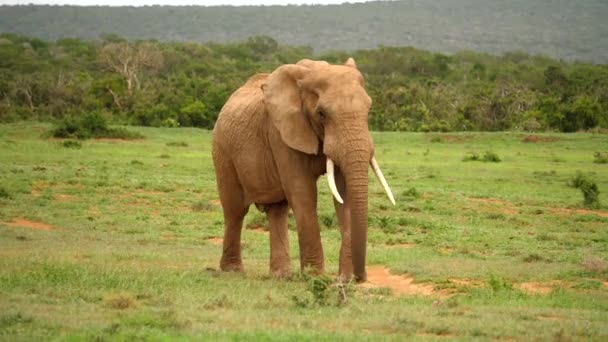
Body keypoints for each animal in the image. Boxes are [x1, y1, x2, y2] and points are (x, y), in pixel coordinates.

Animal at [213, 57, 394, 282]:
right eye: (322, 114)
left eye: (368, 110)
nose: (360, 278)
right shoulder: (282, 132)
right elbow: (303, 192)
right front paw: (315, 277)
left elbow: (344, 194)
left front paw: (343, 279)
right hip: (222, 150)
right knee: (235, 210)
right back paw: (233, 270)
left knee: (277, 211)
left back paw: (281, 275)